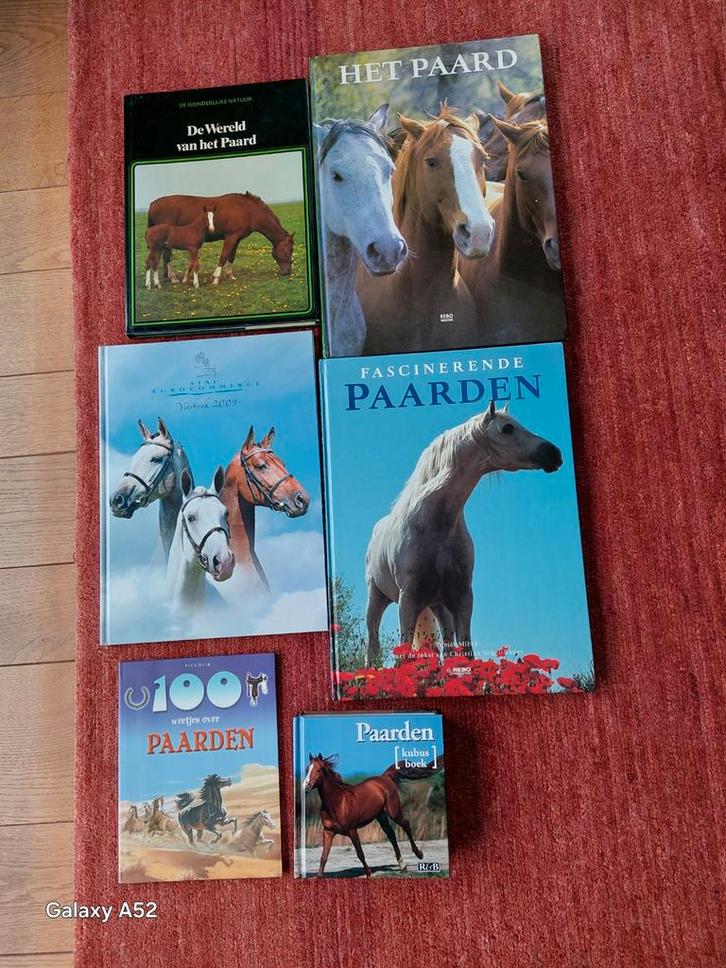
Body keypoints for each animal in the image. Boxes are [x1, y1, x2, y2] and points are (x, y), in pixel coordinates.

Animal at [147, 192, 295, 285]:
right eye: (290, 249)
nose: (288, 272)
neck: (248, 210)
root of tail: (152, 204)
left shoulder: (237, 239)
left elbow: (231, 257)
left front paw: (230, 275)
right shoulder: (230, 237)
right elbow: (223, 257)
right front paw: (216, 278)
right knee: (167, 258)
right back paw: (173, 279)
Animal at [303, 753, 434, 877]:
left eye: (319, 769)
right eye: (306, 769)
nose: (306, 786)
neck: (338, 802)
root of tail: (385, 777)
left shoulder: (352, 830)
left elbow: (360, 853)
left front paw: (368, 873)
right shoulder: (328, 832)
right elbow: (323, 857)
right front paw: (319, 876)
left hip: (394, 813)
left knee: (405, 824)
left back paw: (419, 854)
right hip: (381, 816)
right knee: (391, 834)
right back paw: (403, 866)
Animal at [364, 401, 562, 665]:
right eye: (507, 428)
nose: (554, 453)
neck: (436, 526)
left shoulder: (462, 597)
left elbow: (466, 653)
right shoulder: (408, 599)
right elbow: (403, 655)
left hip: (439, 607)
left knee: (446, 647)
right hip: (377, 598)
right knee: (372, 645)